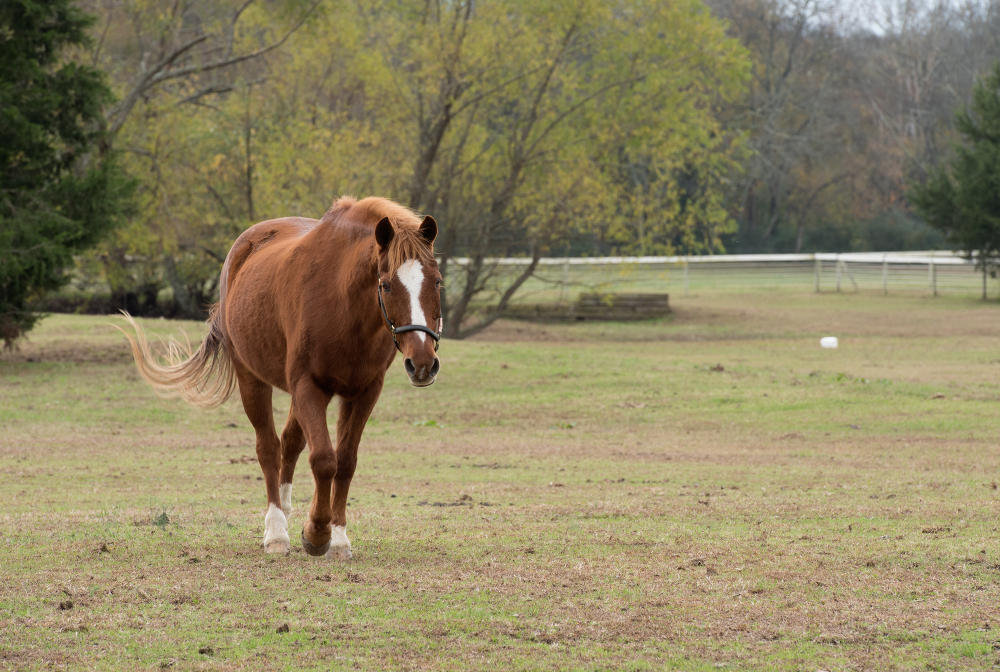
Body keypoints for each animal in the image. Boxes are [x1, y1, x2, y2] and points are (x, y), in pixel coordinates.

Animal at [120, 197, 442, 560]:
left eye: (437, 282)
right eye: (385, 284)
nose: (422, 363)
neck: (344, 307)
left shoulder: (364, 392)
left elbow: (345, 462)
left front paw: (338, 537)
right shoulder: (308, 387)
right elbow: (323, 460)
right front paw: (316, 533)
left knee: (290, 442)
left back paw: (288, 512)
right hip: (252, 379)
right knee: (269, 448)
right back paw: (276, 530)